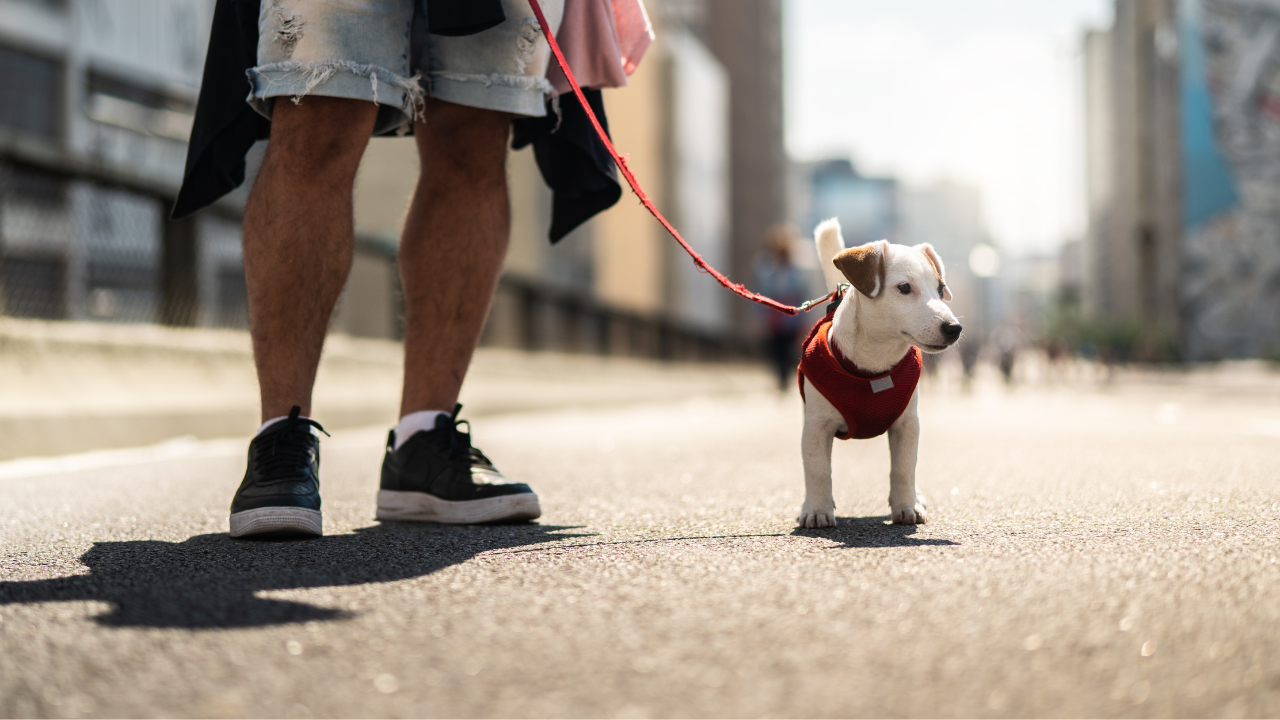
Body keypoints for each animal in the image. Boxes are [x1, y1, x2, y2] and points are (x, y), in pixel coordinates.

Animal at [793, 219, 962, 527]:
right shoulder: (815, 427)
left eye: (940, 289)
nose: (954, 328)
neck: (874, 368)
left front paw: (907, 505)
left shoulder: (908, 424)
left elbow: (904, 467)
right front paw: (817, 510)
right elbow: (817, 469)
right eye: (904, 287)